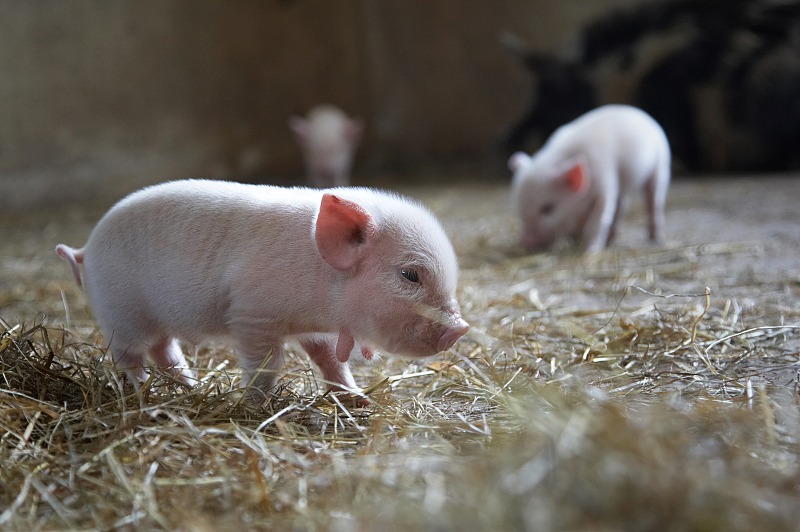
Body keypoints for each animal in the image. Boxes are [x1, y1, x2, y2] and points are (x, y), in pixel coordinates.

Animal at [56, 179, 466, 400]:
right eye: (410, 275)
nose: (460, 328)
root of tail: (85, 248)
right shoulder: (252, 313)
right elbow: (267, 364)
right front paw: (254, 403)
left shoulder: (313, 328)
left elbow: (329, 359)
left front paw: (358, 399)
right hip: (120, 315)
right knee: (129, 357)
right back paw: (145, 392)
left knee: (165, 350)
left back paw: (191, 388)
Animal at [510, 105, 672, 255]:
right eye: (519, 208)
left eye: (548, 208)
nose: (525, 242)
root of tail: (644, 115)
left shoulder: (605, 183)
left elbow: (598, 220)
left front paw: (589, 251)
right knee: (622, 206)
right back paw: (612, 238)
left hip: (661, 165)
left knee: (654, 200)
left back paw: (656, 238)